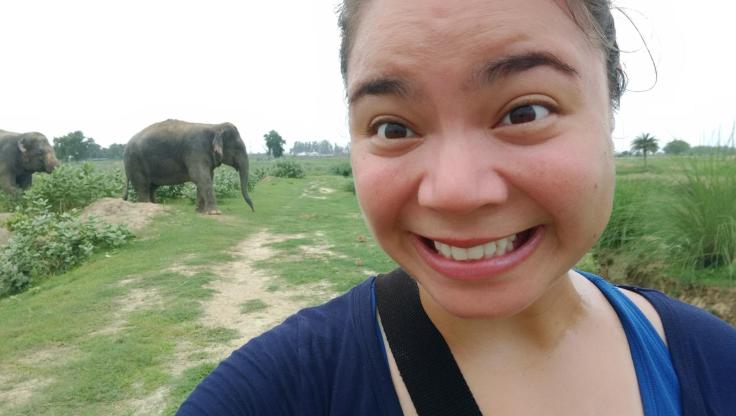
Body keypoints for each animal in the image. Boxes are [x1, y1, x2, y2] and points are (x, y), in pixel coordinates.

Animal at [123, 119, 254, 214]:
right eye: (238, 149)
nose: (253, 210)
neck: (215, 126)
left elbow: (206, 178)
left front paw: (200, 212)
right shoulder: (196, 150)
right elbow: (201, 177)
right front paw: (215, 213)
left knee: (151, 187)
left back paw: (154, 205)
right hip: (135, 163)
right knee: (143, 186)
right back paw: (147, 205)